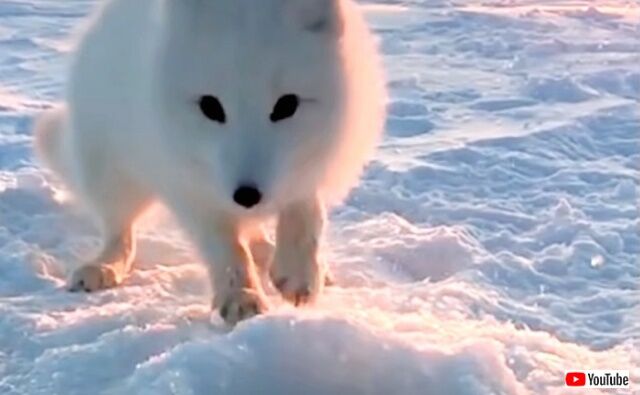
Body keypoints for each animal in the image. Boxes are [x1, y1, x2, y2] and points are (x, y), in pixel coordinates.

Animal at [35, 0, 384, 324]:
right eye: (210, 106)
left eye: (287, 105)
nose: (247, 195)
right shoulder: (189, 186)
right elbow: (225, 247)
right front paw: (241, 298)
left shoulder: (313, 166)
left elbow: (307, 214)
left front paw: (299, 273)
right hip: (110, 172)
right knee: (119, 231)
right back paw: (103, 266)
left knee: (254, 232)